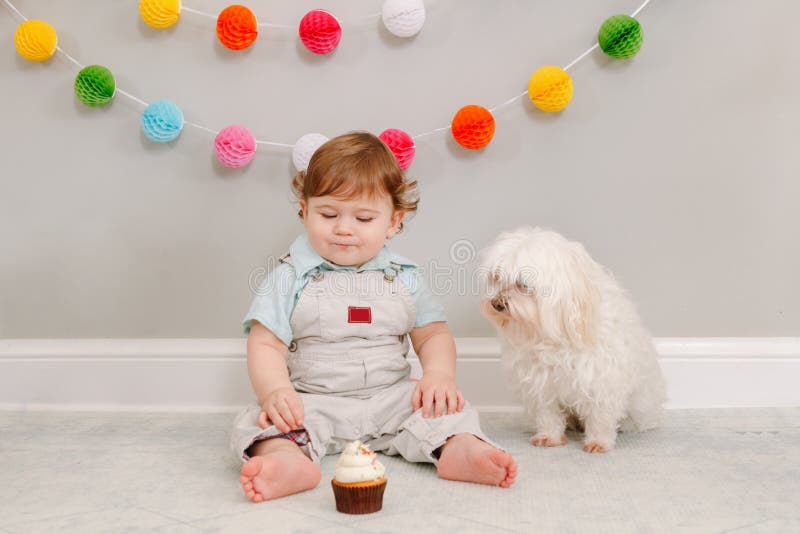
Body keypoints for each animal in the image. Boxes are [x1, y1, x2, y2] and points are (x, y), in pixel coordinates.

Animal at [478, 226, 664, 452]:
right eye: (496, 278)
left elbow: (600, 415)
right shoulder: (541, 381)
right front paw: (549, 436)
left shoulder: (602, 378)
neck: (553, 334)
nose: (496, 304)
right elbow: (547, 413)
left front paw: (599, 441)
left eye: (523, 284)